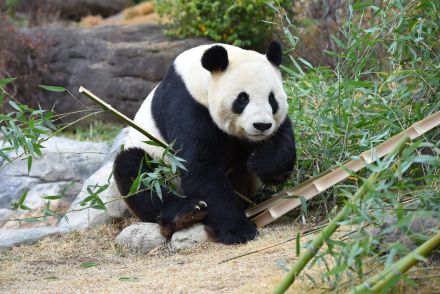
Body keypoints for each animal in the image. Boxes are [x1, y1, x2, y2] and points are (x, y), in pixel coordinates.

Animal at [113, 40, 296, 243]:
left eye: (272, 99)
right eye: (242, 99)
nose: (261, 125)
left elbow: (282, 140)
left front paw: (263, 163)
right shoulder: (185, 104)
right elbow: (200, 167)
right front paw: (238, 231)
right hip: (153, 161)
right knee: (136, 173)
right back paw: (186, 213)